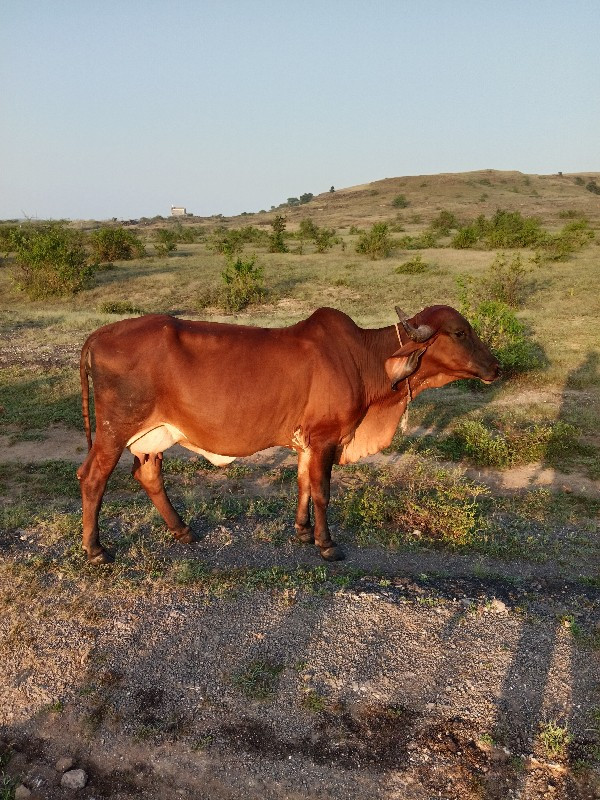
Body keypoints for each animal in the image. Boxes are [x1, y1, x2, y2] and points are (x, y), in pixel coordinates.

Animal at [77, 306, 500, 564]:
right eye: (459, 332)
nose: (496, 366)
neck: (363, 359)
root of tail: (97, 335)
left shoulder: (306, 441)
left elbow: (302, 484)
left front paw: (302, 531)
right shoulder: (327, 438)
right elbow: (323, 491)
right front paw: (327, 543)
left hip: (152, 435)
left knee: (148, 474)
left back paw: (183, 531)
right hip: (115, 431)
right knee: (92, 478)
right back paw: (96, 549)